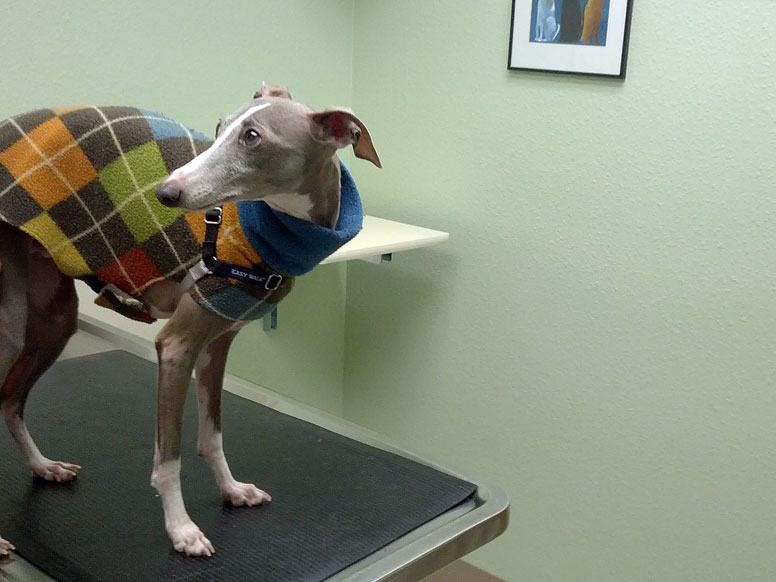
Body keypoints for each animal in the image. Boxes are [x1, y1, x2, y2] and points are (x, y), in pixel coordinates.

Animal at [0, 84, 380, 560]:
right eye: (219, 127)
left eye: (252, 137)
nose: (165, 193)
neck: (264, 236)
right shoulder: (176, 345)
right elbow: (169, 458)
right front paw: (181, 529)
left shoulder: (218, 341)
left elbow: (211, 436)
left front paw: (232, 490)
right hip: (12, 324)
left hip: (54, 318)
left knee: (10, 401)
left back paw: (42, 466)